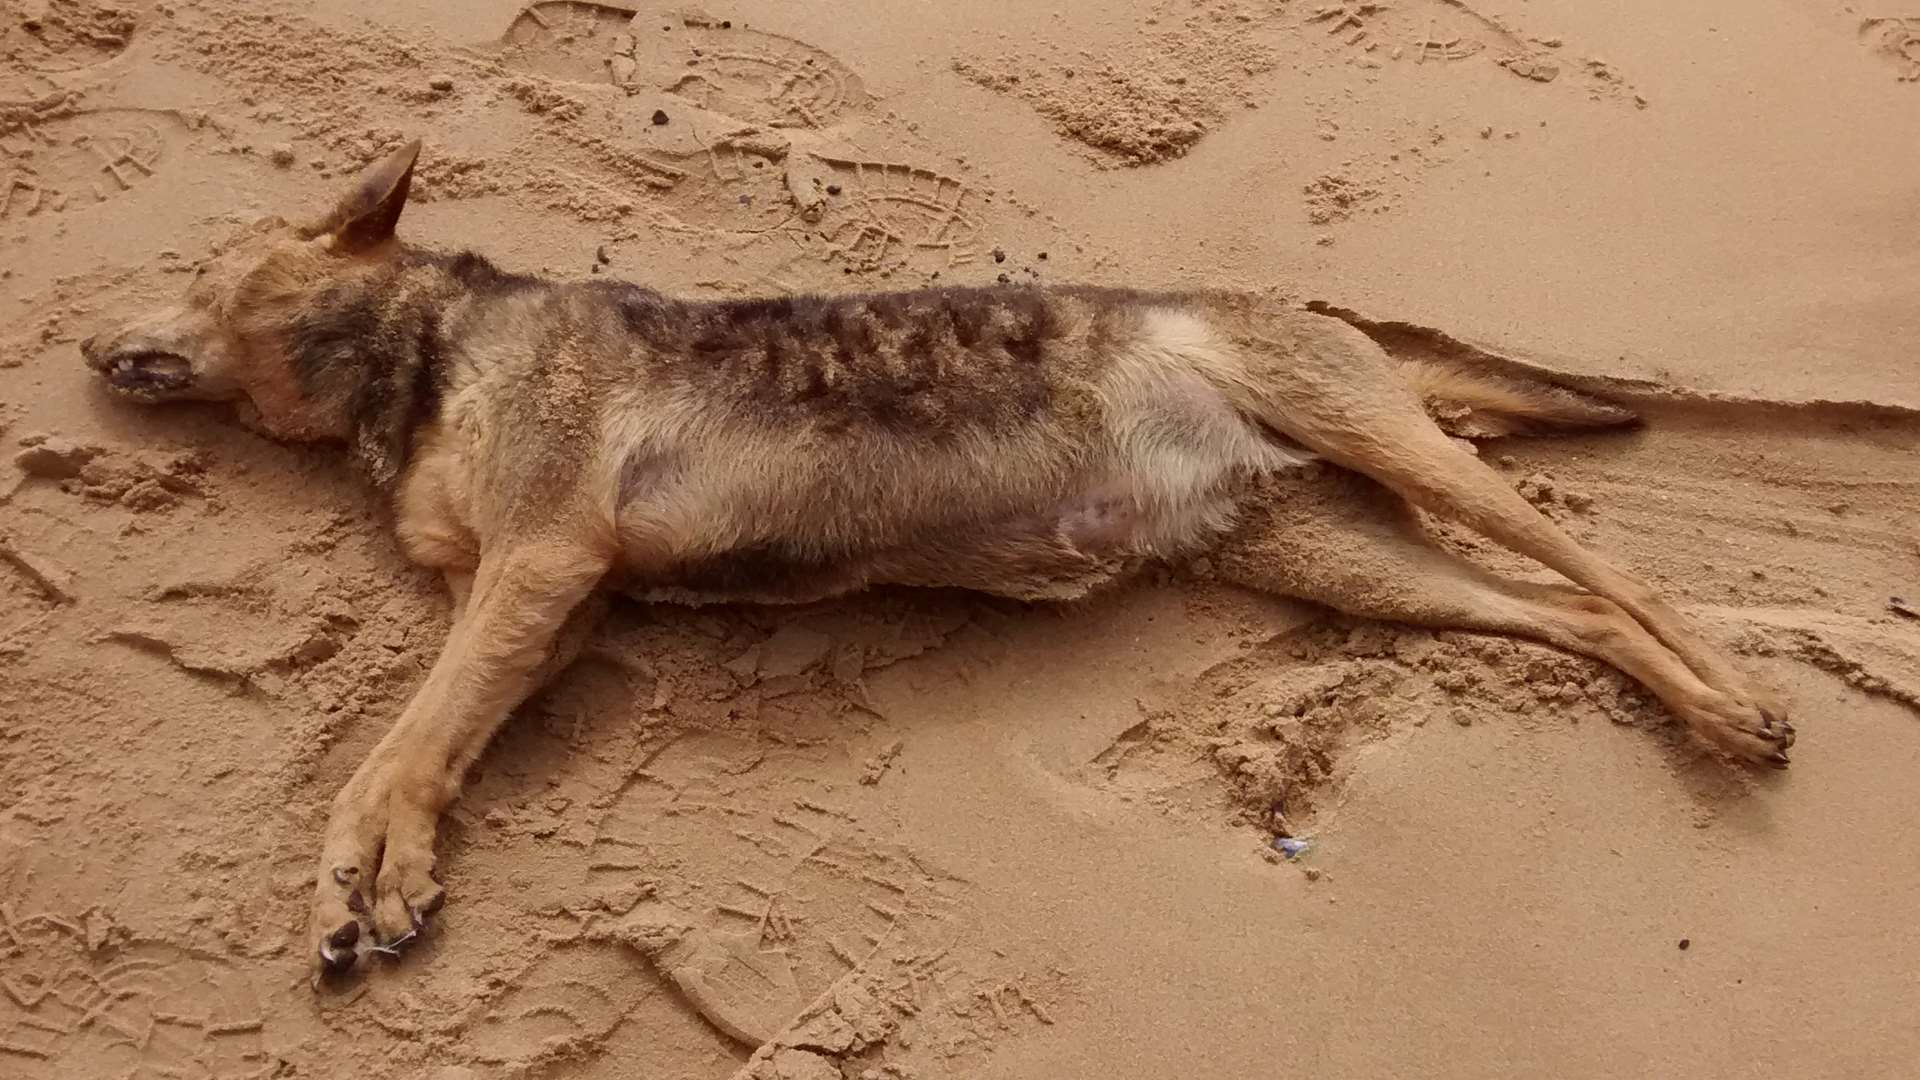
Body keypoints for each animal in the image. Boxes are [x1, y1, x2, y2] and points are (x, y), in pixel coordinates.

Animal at [71, 141, 1781, 976]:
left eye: (205, 269)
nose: (82, 337)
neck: (419, 358)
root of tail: (1338, 325)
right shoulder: (550, 609)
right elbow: (429, 747)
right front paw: (396, 868)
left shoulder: (536, 569)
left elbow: (388, 753)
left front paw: (367, 875)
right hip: (1333, 557)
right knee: (1565, 615)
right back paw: (1700, 712)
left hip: (1384, 443)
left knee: (1621, 580)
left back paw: (1743, 694)